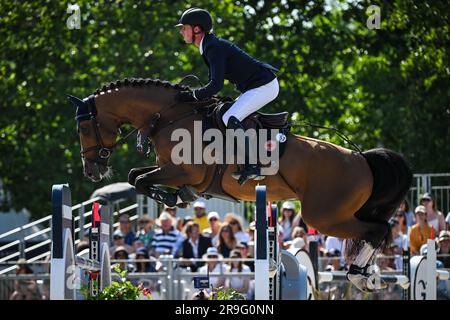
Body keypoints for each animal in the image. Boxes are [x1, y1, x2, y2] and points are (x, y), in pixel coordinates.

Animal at [68, 78, 414, 292]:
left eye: (84, 127)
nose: (91, 171)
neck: (170, 117)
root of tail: (362, 159)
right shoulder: (168, 168)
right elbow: (134, 177)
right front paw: (177, 197)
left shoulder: (182, 171)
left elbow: (140, 180)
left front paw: (174, 198)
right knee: (377, 229)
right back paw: (369, 276)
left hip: (323, 216)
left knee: (378, 230)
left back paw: (359, 278)